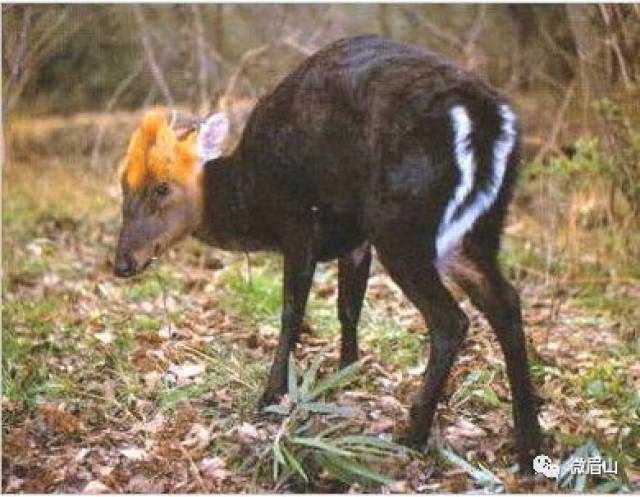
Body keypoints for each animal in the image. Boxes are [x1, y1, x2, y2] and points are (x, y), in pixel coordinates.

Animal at [115, 34, 540, 468]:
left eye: (161, 187)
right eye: (123, 186)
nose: (123, 262)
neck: (253, 194)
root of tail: (483, 116)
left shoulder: (300, 222)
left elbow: (292, 312)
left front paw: (272, 395)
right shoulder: (354, 240)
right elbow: (348, 307)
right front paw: (348, 371)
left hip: (399, 227)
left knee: (450, 320)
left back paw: (412, 437)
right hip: (474, 232)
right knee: (506, 301)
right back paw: (529, 445)